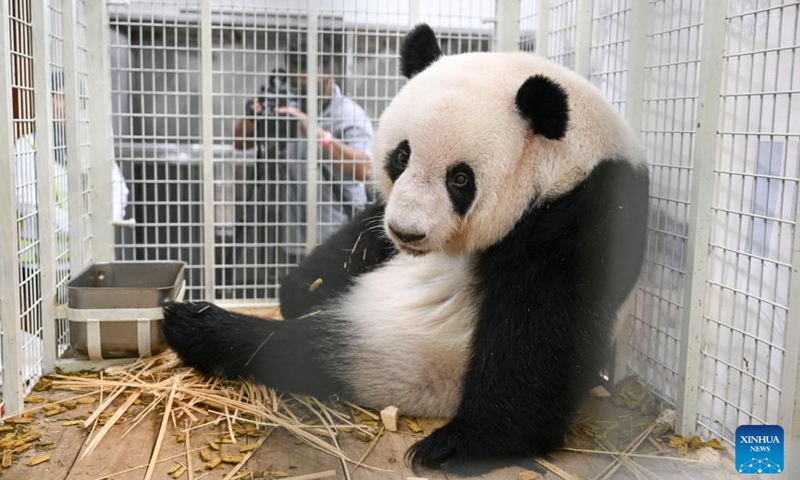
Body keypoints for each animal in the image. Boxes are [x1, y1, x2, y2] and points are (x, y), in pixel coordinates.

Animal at [162, 23, 648, 472]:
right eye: (402, 155)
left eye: (460, 178)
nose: (407, 232)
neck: (561, 162)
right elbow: (361, 236)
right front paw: (300, 286)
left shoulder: (583, 216)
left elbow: (538, 333)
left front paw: (466, 442)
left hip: (405, 356)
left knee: (295, 352)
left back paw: (202, 327)